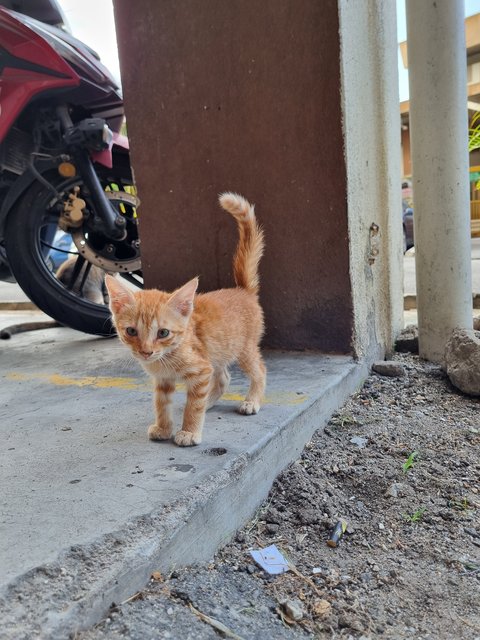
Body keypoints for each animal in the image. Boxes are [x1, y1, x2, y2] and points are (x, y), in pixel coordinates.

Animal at [104, 192, 266, 448]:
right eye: (131, 331)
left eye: (163, 333)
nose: (146, 352)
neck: (167, 356)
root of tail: (242, 290)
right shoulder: (164, 380)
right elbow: (161, 405)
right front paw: (163, 428)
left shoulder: (201, 371)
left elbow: (194, 405)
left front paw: (189, 431)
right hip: (217, 351)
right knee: (223, 377)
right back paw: (210, 402)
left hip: (243, 348)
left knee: (259, 370)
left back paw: (252, 401)